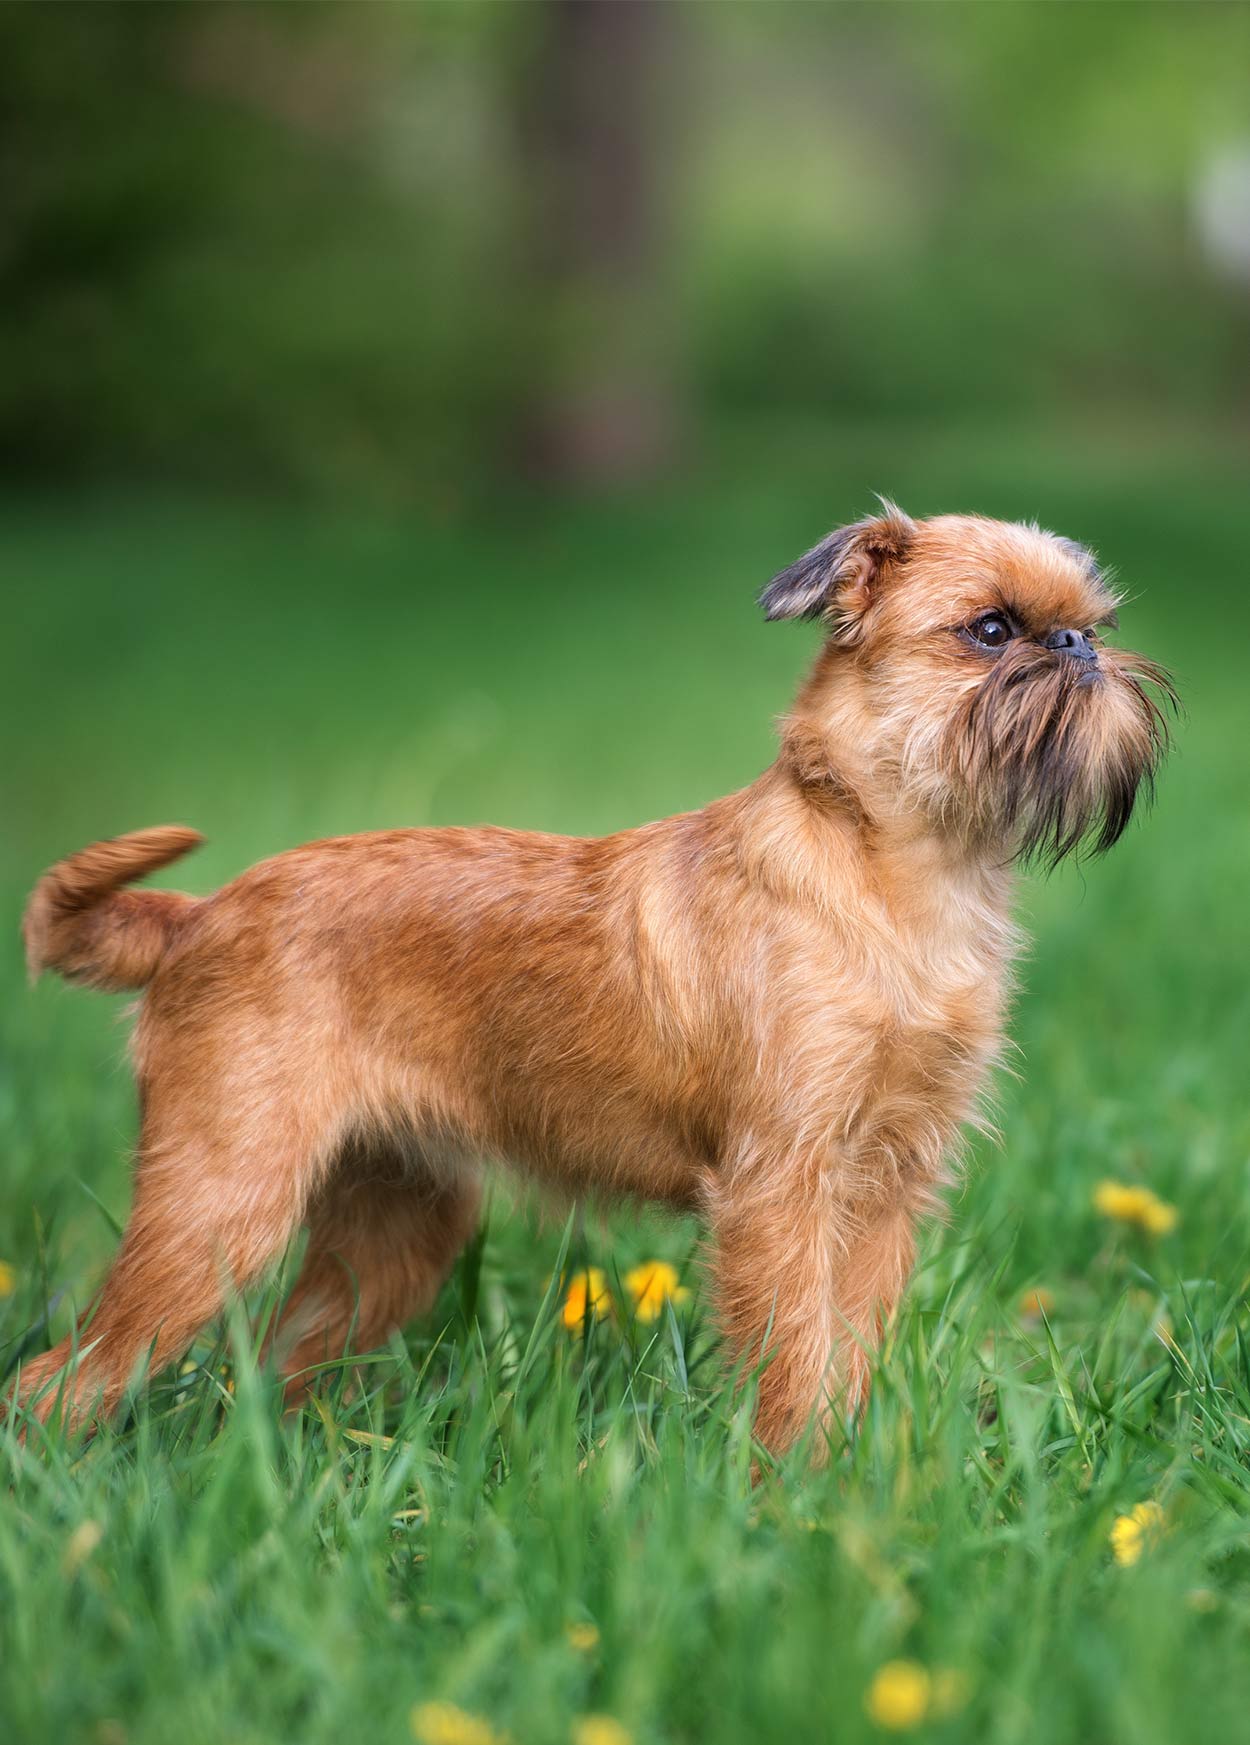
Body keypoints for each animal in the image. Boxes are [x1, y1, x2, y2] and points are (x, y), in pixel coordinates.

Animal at [14, 509, 1180, 1451]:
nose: (1076, 644)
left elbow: (846, 1346)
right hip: (221, 1203)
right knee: (56, 1379)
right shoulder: (781, 1183)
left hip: (394, 1226)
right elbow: (795, 1352)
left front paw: (849, 1477)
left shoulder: (886, 1184)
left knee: (278, 1360)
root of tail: (200, 916)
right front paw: (792, 1493)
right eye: (990, 629)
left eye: (1093, 619)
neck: (894, 868)